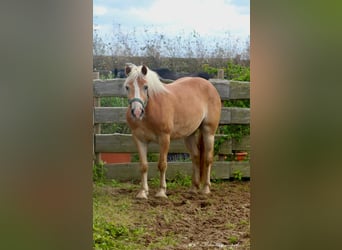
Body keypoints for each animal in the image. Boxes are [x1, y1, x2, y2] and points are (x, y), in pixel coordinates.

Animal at [124, 63, 220, 198]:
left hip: (209, 132)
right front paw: (142, 192)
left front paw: (161, 191)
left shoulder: (164, 138)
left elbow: (162, 164)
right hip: (189, 135)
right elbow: (143, 166)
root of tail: (209, 85)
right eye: (127, 87)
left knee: (208, 158)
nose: (137, 112)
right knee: (195, 157)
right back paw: (193, 188)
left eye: (146, 87)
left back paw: (206, 189)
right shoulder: (139, 139)